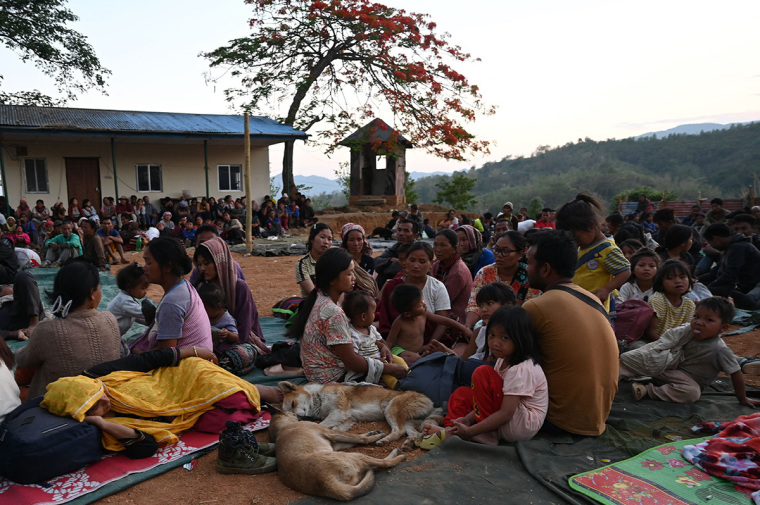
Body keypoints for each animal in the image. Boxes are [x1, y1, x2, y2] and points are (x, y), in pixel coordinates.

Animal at [270, 410, 406, 500]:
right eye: (295, 413)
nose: (313, 416)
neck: (283, 427)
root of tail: (324, 481)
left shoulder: (334, 444)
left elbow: (356, 438)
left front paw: (371, 433)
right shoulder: (332, 433)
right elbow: (358, 438)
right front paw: (375, 437)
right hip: (354, 456)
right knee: (383, 463)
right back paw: (397, 455)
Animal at [280, 382, 434, 444]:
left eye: (293, 404)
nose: (299, 419)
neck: (318, 397)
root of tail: (429, 401)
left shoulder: (339, 410)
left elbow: (322, 425)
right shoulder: (347, 418)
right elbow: (336, 429)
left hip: (391, 409)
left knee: (399, 431)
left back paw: (384, 440)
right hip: (405, 419)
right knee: (413, 433)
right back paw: (409, 443)